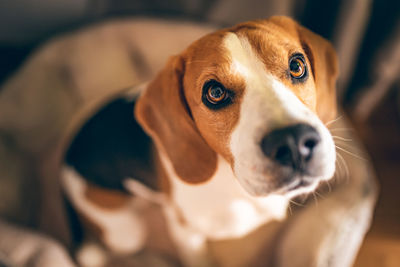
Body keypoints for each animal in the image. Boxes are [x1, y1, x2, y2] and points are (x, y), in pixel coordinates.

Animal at [63, 16, 378, 267]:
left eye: (297, 65)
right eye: (214, 93)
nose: (293, 142)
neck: (234, 184)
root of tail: (64, 157)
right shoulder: (187, 233)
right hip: (126, 233)